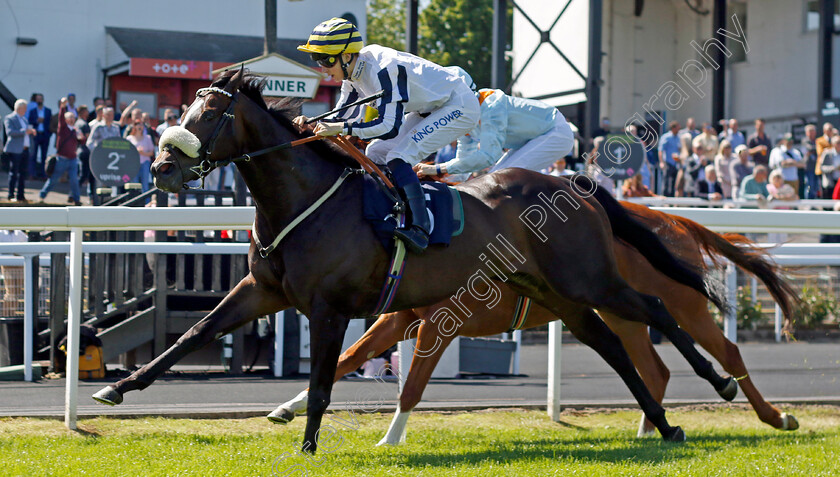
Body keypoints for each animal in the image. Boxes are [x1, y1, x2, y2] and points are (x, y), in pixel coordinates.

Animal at [88, 69, 740, 450]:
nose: (161, 168)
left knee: (656, 308)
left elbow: (322, 380)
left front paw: (308, 445)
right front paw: (118, 387)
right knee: (614, 348)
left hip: (589, 278)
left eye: (211, 115)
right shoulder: (262, 289)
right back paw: (666, 425)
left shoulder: (330, 308)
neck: (305, 200)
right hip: (560, 294)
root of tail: (573, 186)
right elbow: (193, 333)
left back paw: (721, 384)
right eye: (183, 112)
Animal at [270, 201, 800, 442]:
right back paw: (650, 428)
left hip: (677, 304)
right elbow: (349, 357)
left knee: (725, 351)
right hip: (616, 310)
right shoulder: (400, 316)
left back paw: (774, 415)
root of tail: (675, 220)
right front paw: (287, 408)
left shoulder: (439, 319)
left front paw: (390, 436)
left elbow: (412, 381)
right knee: (656, 367)